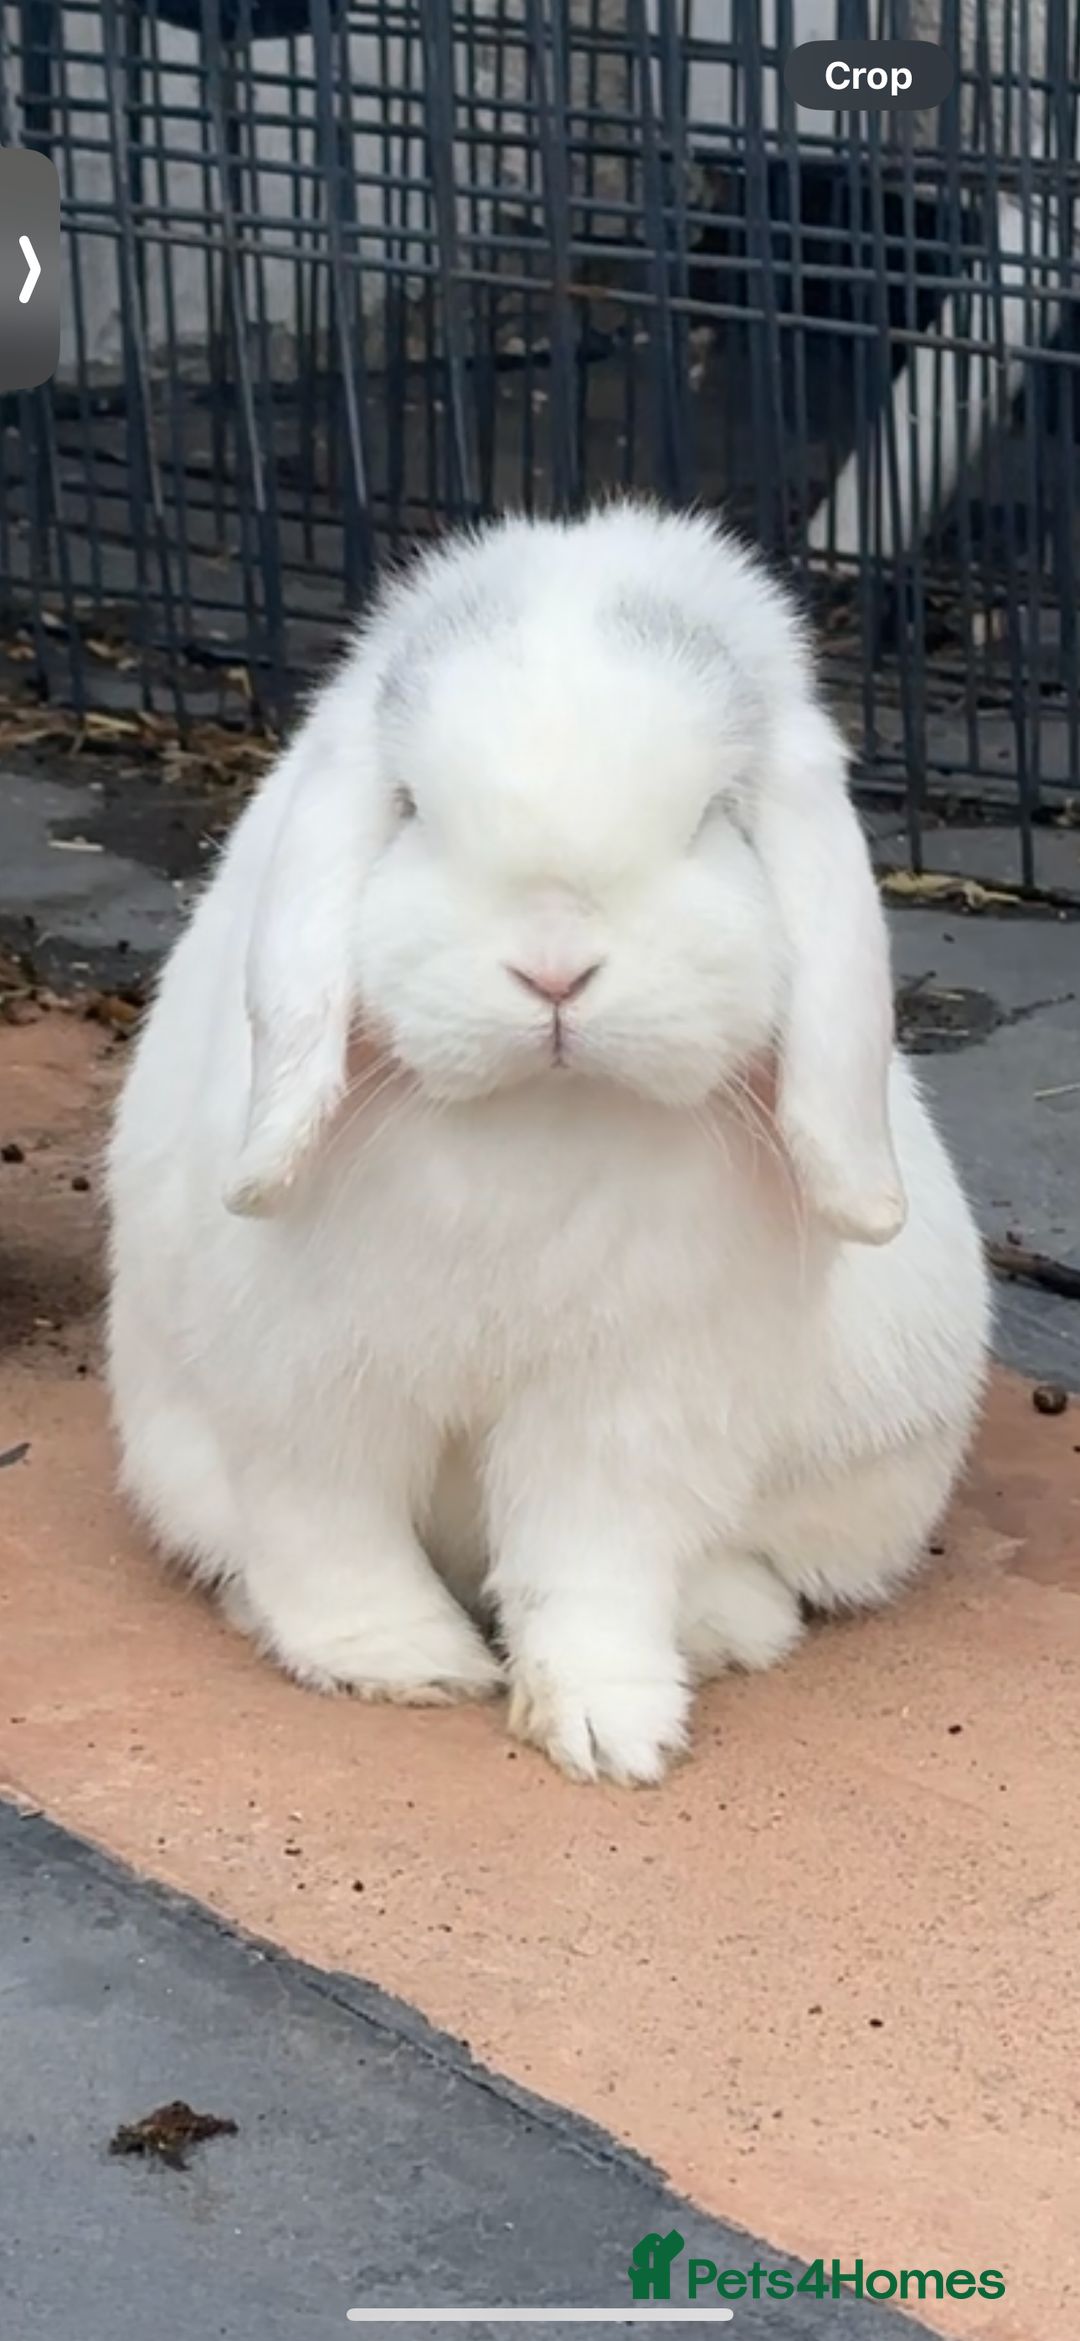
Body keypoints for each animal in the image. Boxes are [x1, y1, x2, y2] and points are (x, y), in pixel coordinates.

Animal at [104, 499, 991, 1786]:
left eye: (716, 816)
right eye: (412, 810)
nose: (556, 967)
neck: (538, 1112)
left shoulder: (626, 1403)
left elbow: (592, 1562)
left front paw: (610, 1728)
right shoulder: (308, 1385)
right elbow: (332, 1534)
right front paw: (401, 1665)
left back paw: (723, 1625)